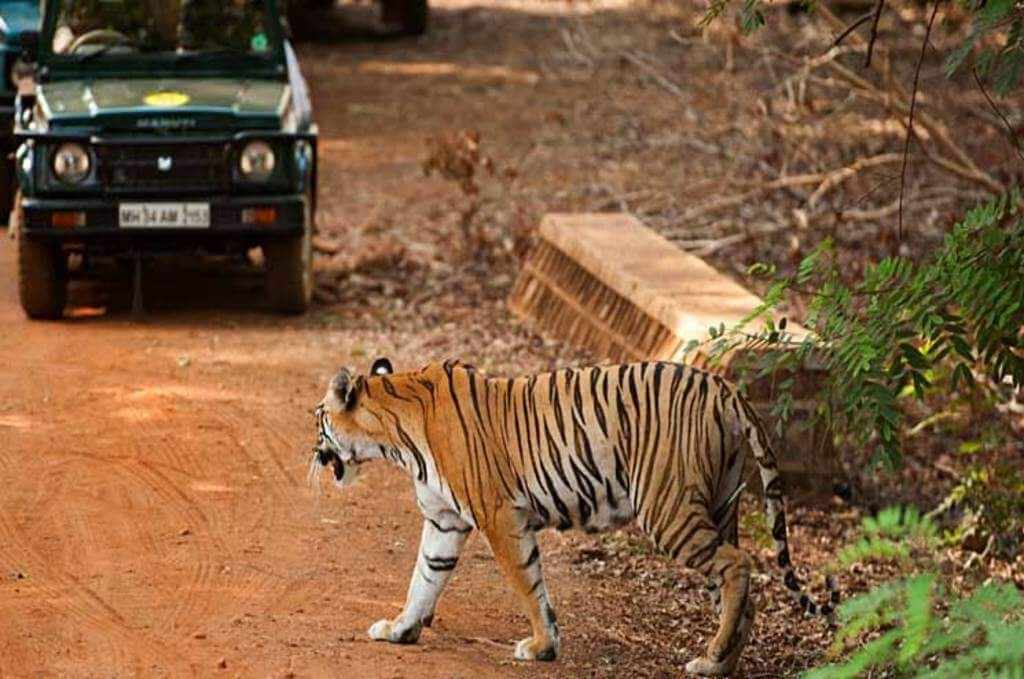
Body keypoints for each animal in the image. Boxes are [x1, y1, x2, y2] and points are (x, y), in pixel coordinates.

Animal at [310, 357, 838, 676]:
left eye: (319, 420)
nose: (313, 455)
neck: (396, 437)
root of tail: (724, 387)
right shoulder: (445, 522)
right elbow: (423, 579)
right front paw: (400, 630)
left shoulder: (500, 516)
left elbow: (527, 584)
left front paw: (541, 647)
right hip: (719, 505)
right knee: (738, 587)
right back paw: (722, 663)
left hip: (668, 509)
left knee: (737, 566)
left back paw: (710, 660)